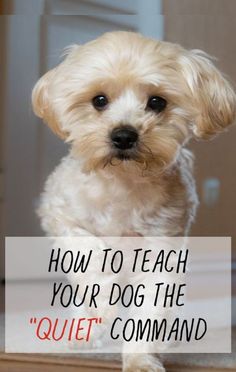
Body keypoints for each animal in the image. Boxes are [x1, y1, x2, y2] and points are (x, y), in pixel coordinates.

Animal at [32, 32, 235, 372]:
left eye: (157, 102)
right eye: (99, 100)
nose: (124, 135)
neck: (123, 183)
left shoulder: (162, 249)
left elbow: (150, 312)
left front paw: (141, 360)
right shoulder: (59, 215)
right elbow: (91, 254)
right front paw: (101, 307)